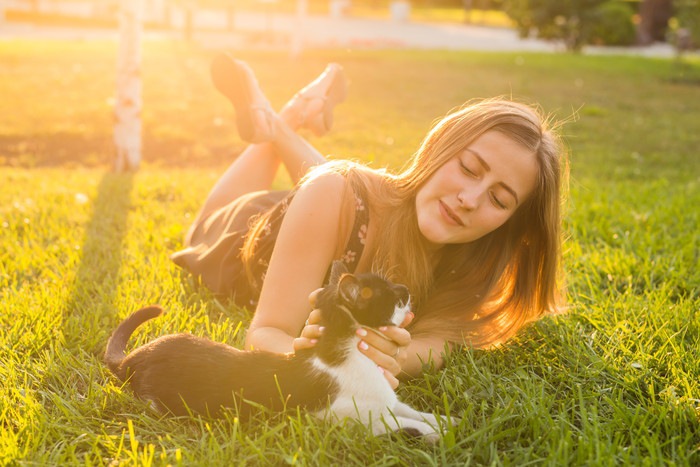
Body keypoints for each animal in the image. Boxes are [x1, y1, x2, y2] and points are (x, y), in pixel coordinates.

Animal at [105, 264, 454, 442]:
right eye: (393, 297)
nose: (406, 290)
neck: (351, 353)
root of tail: (135, 357)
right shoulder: (347, 418)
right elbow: (401, 423)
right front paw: (433, 431)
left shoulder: (387, 400)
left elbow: (413, 411)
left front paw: (448, 420)